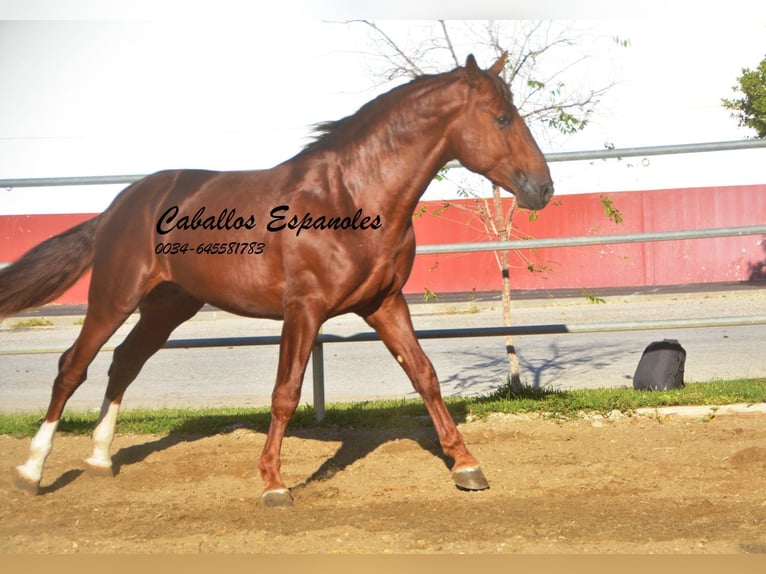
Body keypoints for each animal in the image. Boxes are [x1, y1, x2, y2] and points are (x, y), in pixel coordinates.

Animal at [0, 55, 552, 508]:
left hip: (166, 307)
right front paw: (273, 484)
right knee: (73, 366)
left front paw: (467, 466)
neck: (349, 197)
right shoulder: (303, 309)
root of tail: (121, 204)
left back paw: (99, 460)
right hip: (114, 297)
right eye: (502, 117)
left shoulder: (385, 304)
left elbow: (425, 376)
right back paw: (32, 471)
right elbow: (285, 392)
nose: (543, 189)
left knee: (124, 364)